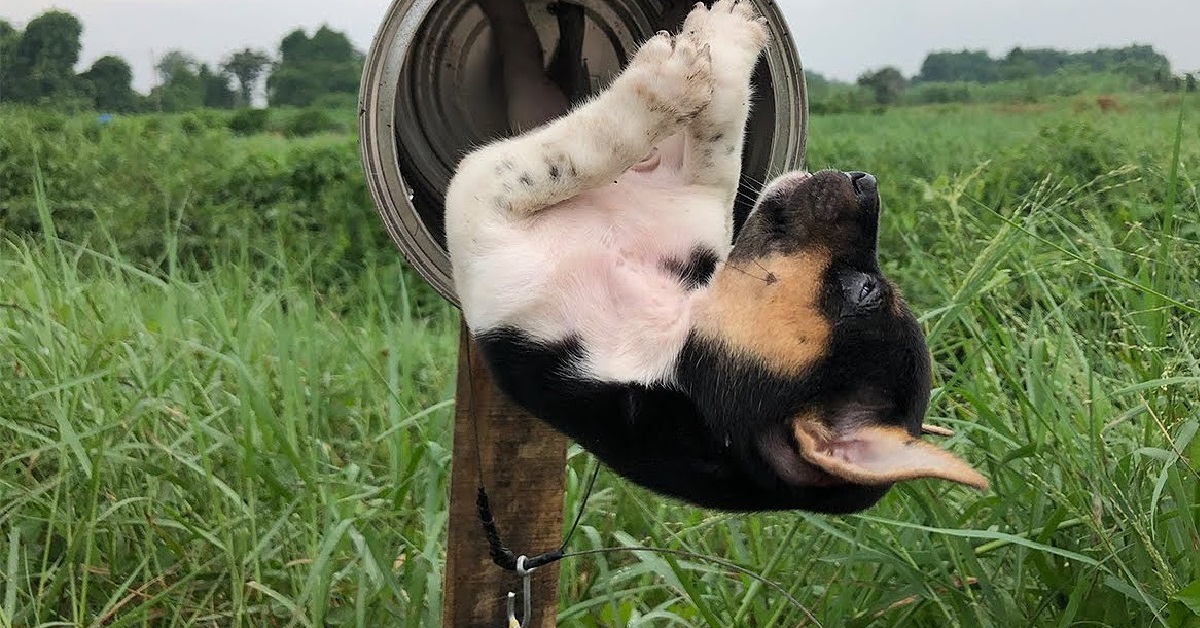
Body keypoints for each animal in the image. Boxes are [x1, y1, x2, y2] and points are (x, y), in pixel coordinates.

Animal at [446, 0, 988, 516]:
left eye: (865, 291)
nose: (867, 183)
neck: (660, 339)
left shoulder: (483, 201)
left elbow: (578, 152)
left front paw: (665, 84)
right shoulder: (697, 194)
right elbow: (720, 140)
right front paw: (726, 41)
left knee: (530, 64)